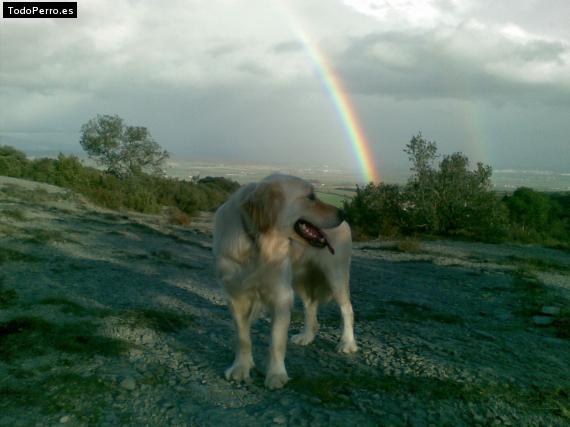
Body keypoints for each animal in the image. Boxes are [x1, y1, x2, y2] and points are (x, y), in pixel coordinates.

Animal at [211, 174, 358, 392]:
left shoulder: (281, 295)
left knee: (347, 309)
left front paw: (276, 375)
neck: (256, 241)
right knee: (310, 307)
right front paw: (241, 368)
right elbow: (243, 338)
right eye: (310, 196)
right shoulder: (236, 297)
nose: (344, 212)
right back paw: (306, 335)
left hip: (335, 275)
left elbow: (276, 342)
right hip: (300, 281)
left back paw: (347, 343)